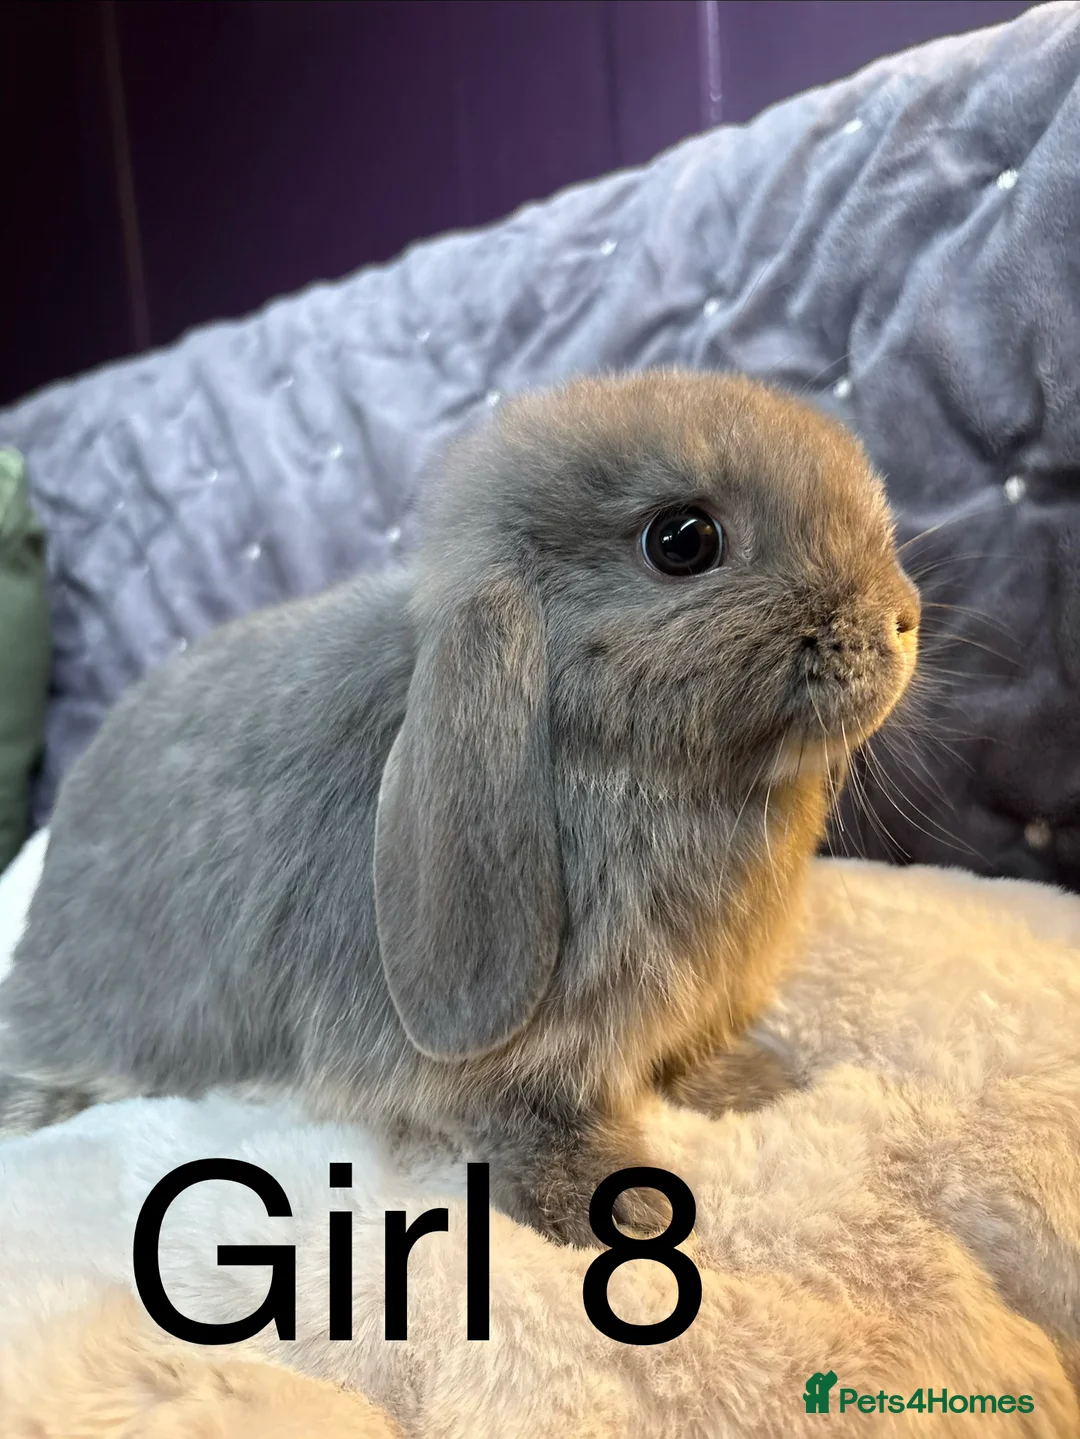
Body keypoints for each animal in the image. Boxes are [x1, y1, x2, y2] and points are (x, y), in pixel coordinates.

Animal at [0, 370, 919, 1245]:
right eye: (683, 540)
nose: (903, 618)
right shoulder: (493, 1063)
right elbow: (528, 1115)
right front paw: (617, 1207)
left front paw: (761, 1080)